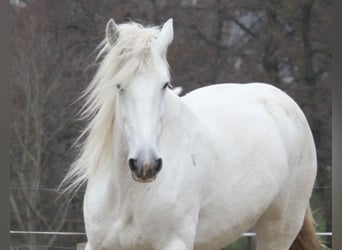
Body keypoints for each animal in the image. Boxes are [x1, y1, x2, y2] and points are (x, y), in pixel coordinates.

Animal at [63, 18, 324, 249]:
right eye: (119, 86)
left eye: (164, 85)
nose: (146, 165)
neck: (129, 196)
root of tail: (282, 99)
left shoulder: (174, 244)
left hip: (278, 227)